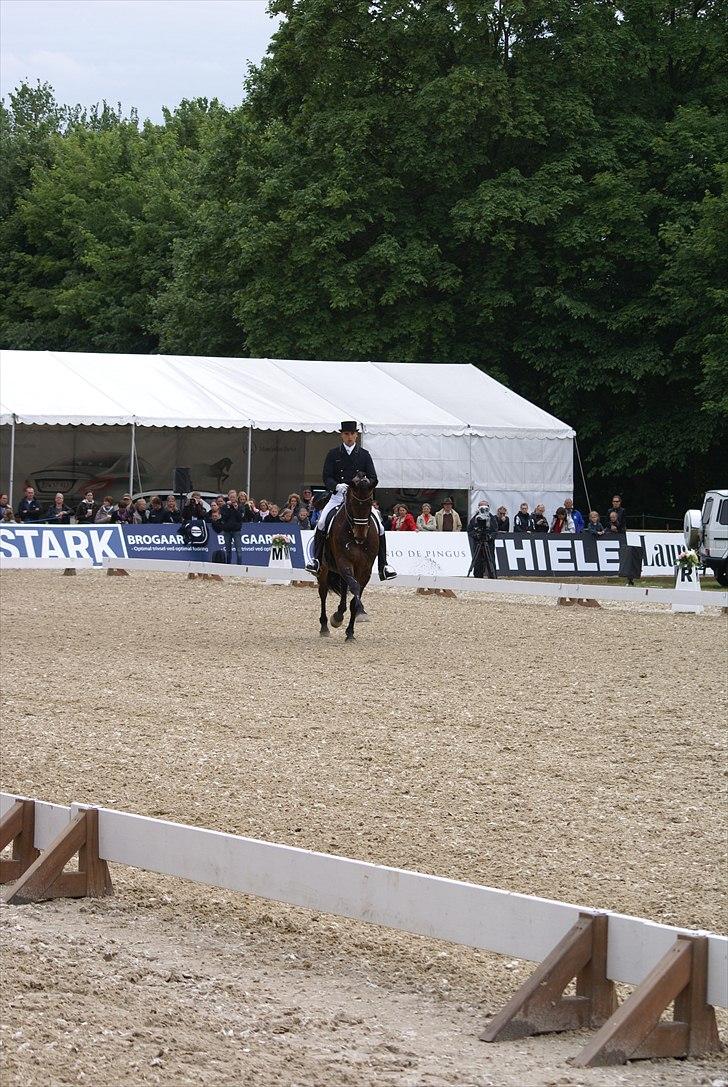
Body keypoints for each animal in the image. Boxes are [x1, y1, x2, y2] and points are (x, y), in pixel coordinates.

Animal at [317, 471, 380, 639]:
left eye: (370, 502)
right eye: (352, 503)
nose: (360, 535)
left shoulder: (365, 569)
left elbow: (354, 594)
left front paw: (351, 630)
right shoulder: (344, 562)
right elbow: (354, 587)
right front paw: (338, 618)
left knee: (345, 586)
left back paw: (340, 613)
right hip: (324, 569)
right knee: (323, 593)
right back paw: (325, 626)